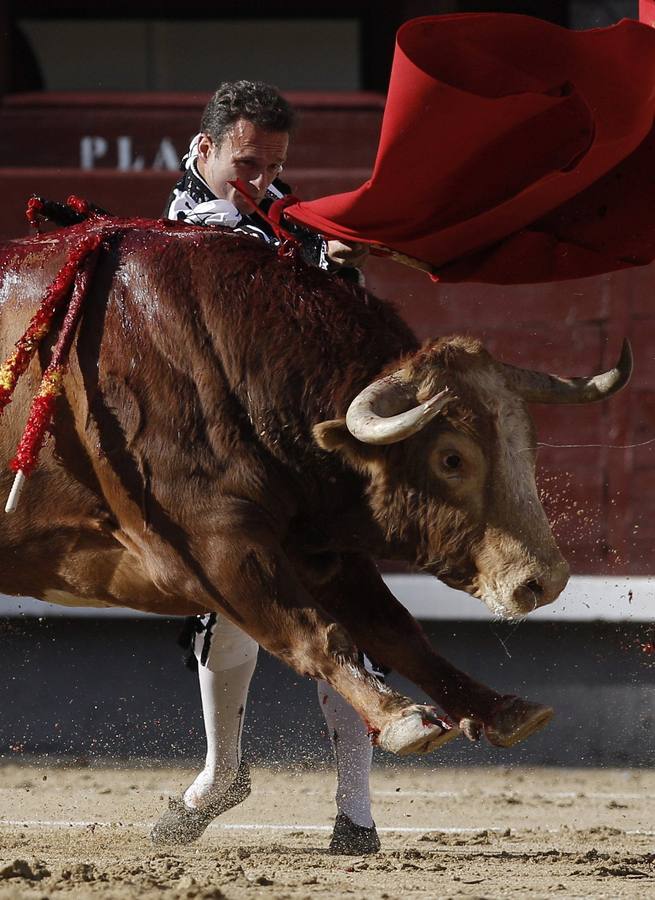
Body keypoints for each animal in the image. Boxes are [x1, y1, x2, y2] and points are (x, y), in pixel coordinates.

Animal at [0, 221, 636, 756]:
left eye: (526, 444)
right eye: (451, 459)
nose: (544, 582)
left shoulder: (316, 548)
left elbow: (396, 629)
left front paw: (500, 708)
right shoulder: (209, 543)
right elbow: (315, 632)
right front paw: (402, 718)